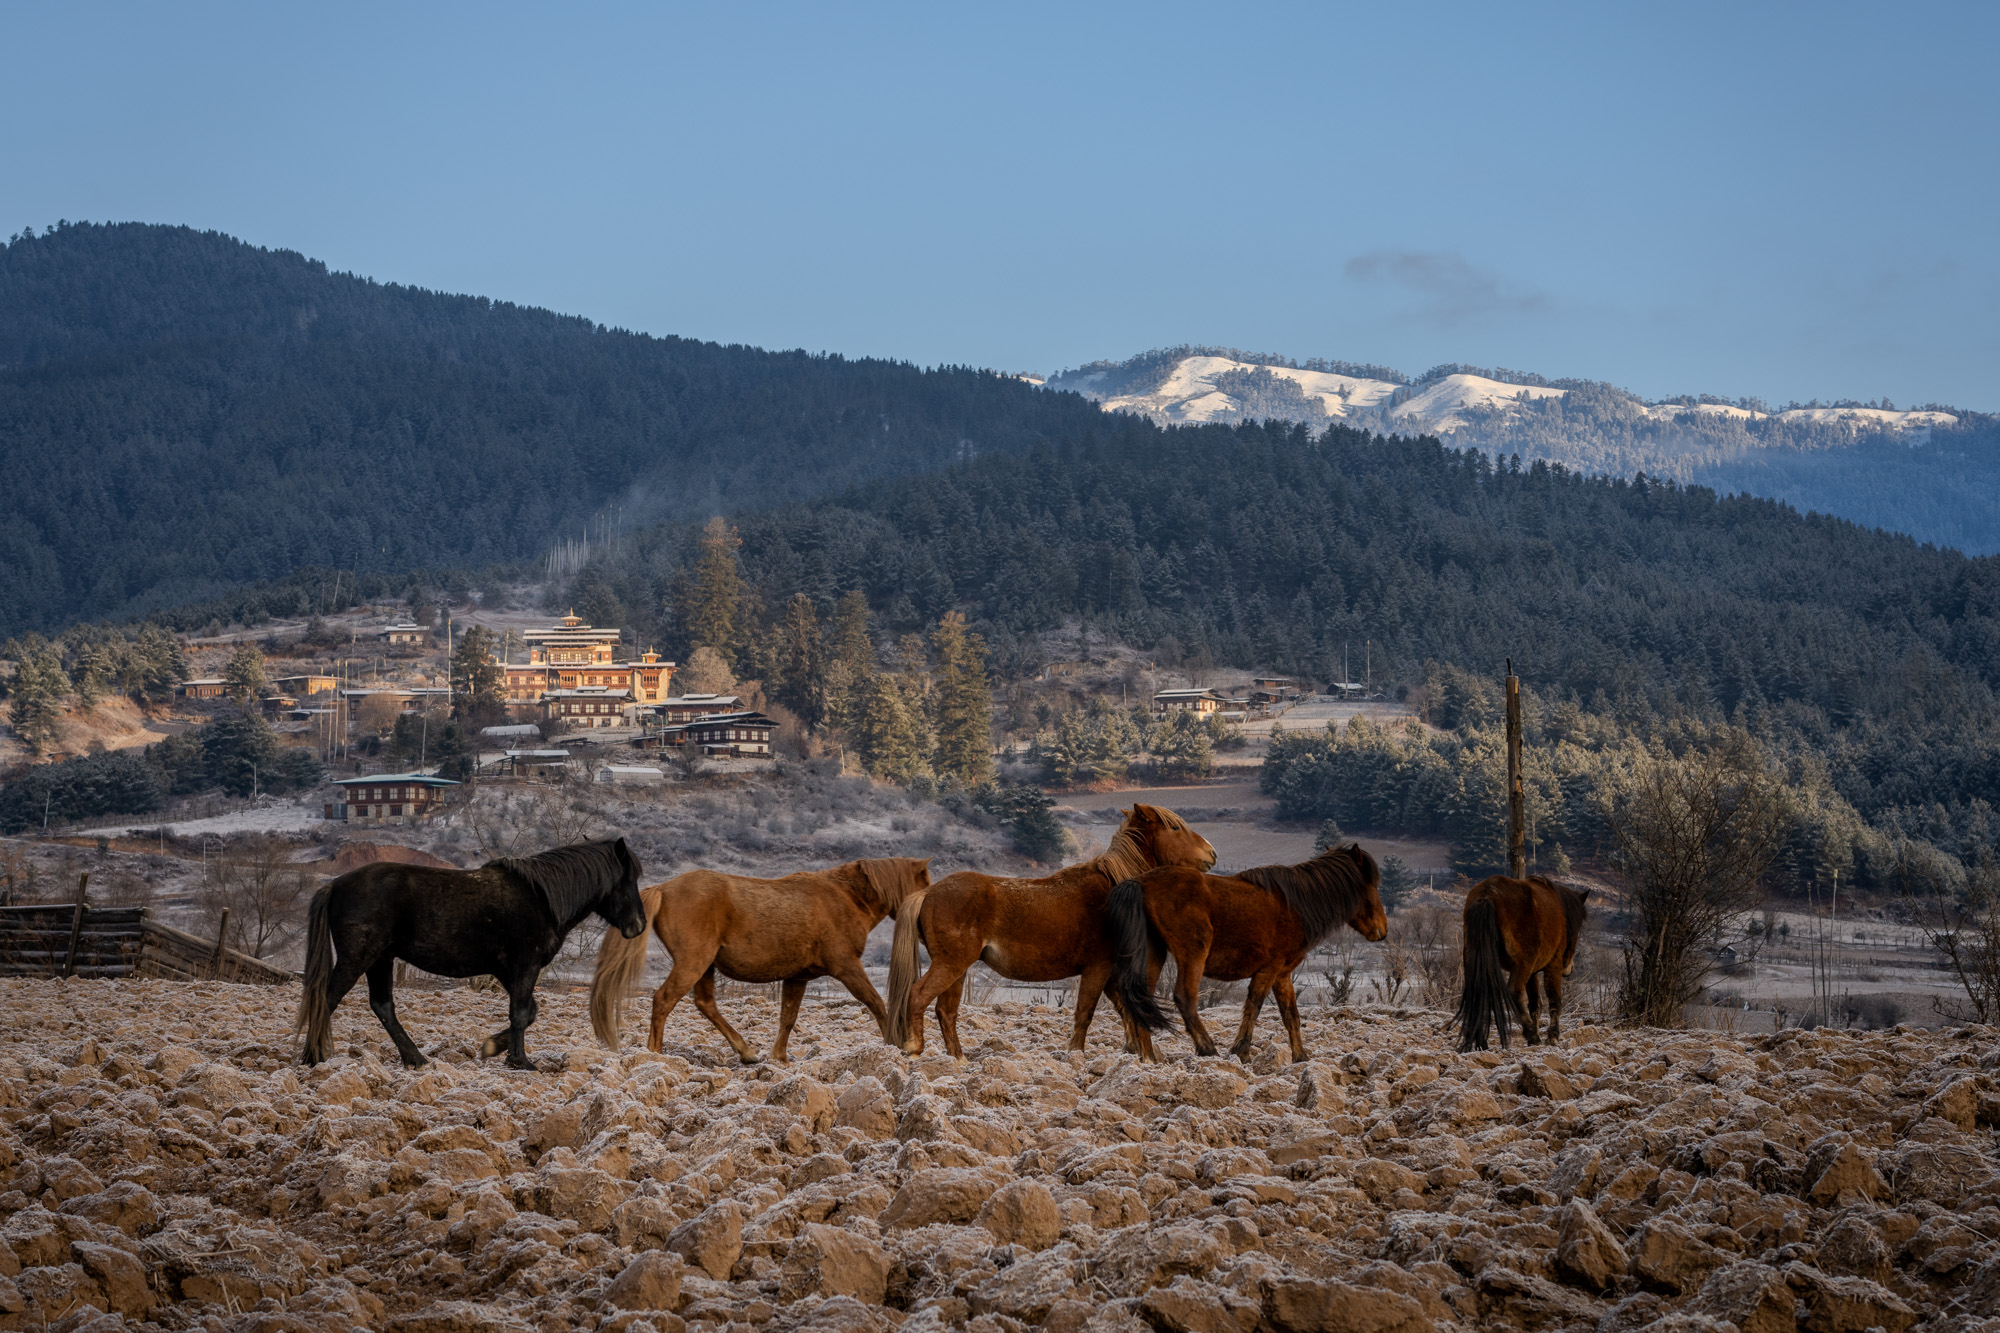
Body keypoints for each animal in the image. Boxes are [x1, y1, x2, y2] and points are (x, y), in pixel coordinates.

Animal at [296, 837, 646, 1070]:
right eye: (627, 879)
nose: (639, 925)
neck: (542, 898)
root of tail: (335, 885)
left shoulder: (508, 971)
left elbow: (529, 1012)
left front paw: (493, 1047)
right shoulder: (525, 966)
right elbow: (521, 1014)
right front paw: (520, 1061)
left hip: (380, 959)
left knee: (382, 1006)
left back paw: (416, 1058)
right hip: (359, 958)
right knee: (327, 998)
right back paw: (313, 1057)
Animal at [589, 858, 932, 1063]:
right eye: (925, 883)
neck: (844, 898)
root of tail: (663, 888)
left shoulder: (797, 977)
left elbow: (788, 1017)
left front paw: (779, 1057)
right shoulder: (847, 967)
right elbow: (876, 1003)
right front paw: (894, 1042)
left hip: (705, 966)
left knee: (705, 1004)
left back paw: (746, 1052)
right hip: (693, 963)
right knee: (663, 1000)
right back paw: (655, 1054)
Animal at [886, 805, 1216, 1059]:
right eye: (1175, 827)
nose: (1211, 854)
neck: (1113, 890)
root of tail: (927, 893)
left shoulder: (1110, 975)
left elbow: (1126, 1011)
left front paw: (1139, 1053)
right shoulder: (1098, 968)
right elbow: (1085, 1013)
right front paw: (1076, 1056)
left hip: (958, 968)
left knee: (946, 1012)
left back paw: (959, 1060)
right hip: (950, 965)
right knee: (918, 996)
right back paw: (914, 1048)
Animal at [1108, 843, 1388, 1063]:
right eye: (1372, 885)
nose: (1382, 931)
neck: (1295, 906)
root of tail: (1140, 882)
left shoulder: (1282, 974)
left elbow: (1291, 1015)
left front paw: (1301, 1057)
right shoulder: (1269, 969)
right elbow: (1254, 1006)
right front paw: (1240, 1051)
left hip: (1154, 953)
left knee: (1141, 1000)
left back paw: (1149, 1057)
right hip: (1193, 953)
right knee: (1184, 998)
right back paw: (1207, 1049)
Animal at [1453, 873, 1591, 1051]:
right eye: (1577, 927)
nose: (1569, 969)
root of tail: (1487, 895)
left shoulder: (1532, 973)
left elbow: (1535, 1004)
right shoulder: (1553, 965)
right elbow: (1554, 998)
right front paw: (1552, 1035)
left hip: (1478, 961)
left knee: (1479, 993)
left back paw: (1482, 1042)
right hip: (1522, 965)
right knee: (1515, 993)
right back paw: (1532, 1035)